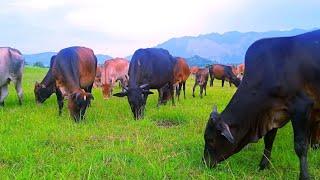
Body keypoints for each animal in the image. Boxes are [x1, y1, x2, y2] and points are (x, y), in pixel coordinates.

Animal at [202, 30, 320, 179]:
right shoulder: (273, 112)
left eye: (210, 139)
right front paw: (263, 165)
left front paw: (304, 176)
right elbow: (269, 140)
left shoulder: (301, 107)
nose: (205, 162)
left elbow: (300, 146)